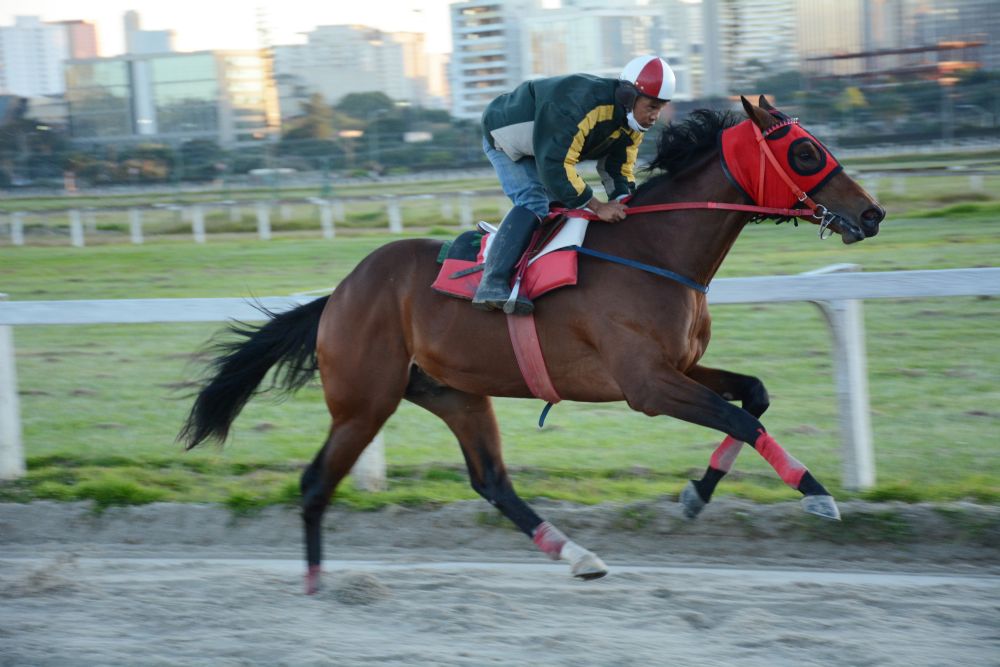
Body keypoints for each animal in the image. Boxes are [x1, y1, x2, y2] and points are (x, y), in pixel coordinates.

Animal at [180, 96, 884, 594]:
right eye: (804, 152)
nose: (873, 214)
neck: (655, 252)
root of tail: (340, 293)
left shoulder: (680, 367)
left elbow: (753, 399)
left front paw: (696, 494)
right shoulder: (647, 387)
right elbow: (741, 418)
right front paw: (816, 492)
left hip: (454, 393)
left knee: (491, 481)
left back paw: (576, 555)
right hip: (364, 401)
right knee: (314, 481)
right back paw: (314, 585)